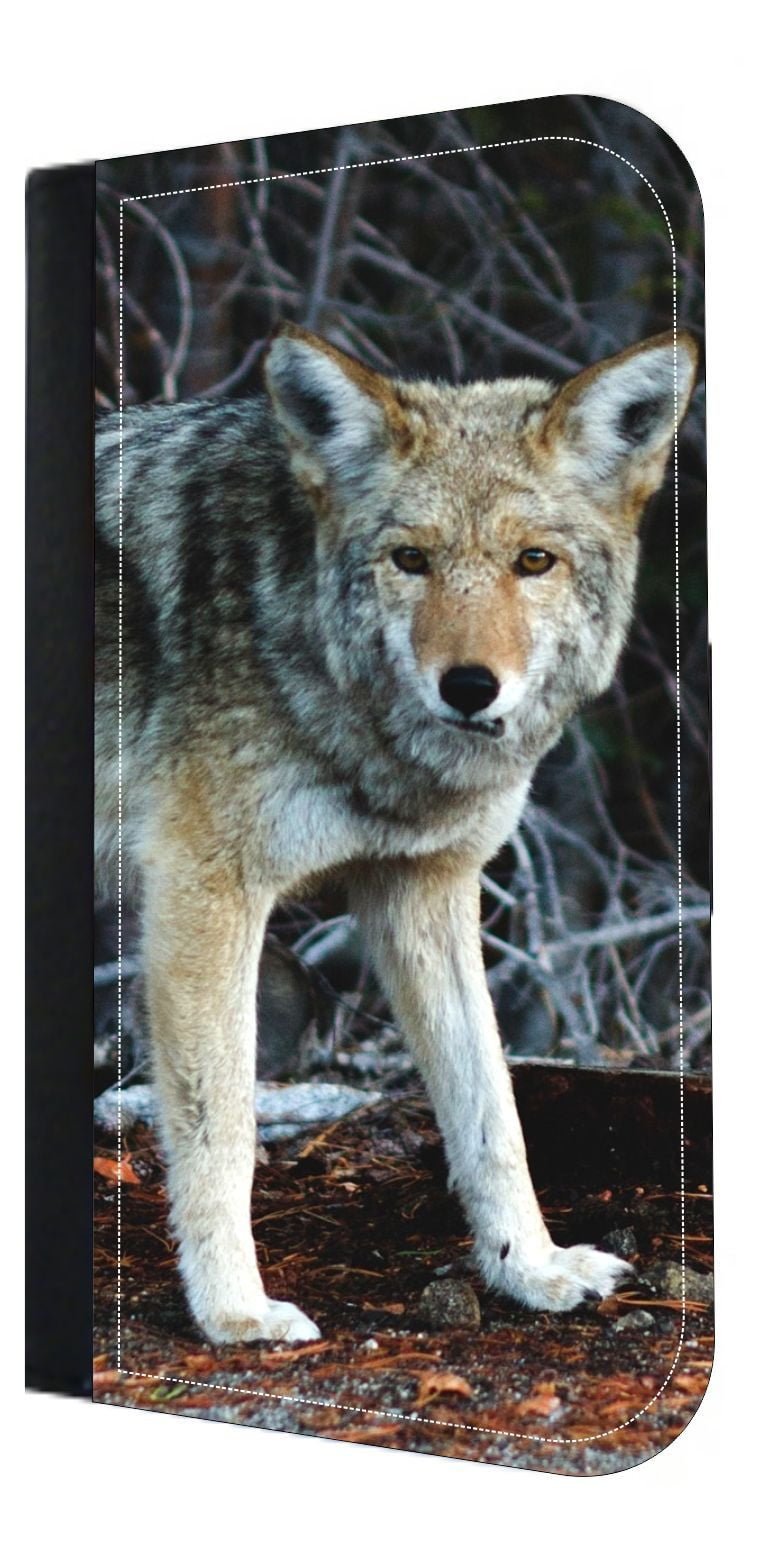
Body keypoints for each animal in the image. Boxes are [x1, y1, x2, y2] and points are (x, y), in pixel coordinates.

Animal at [95, 322, 698, 1344]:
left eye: (532, 562)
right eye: (410, 560)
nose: (470, 685)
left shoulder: (423, 887)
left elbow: (492, 1108)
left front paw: (529, 1268)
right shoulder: (202, 888)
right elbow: (225, 1124)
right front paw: (234, 1313)